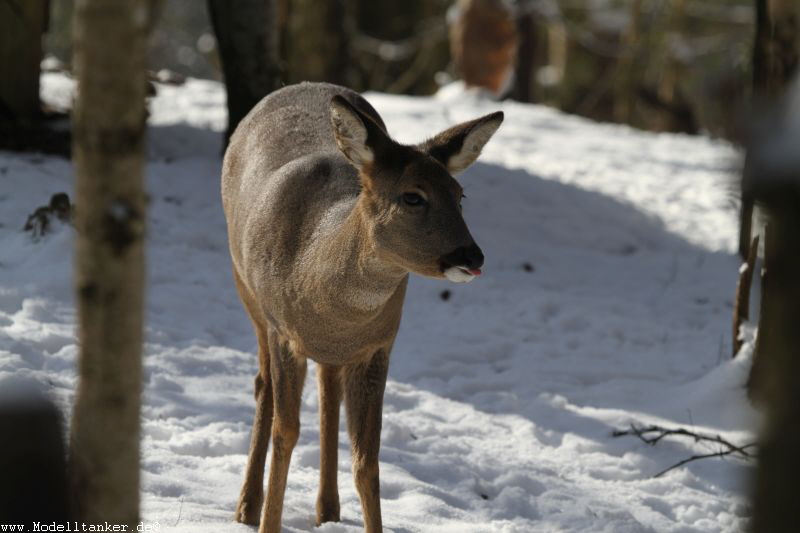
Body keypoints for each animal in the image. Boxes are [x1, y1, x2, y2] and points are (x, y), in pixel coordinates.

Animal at [222, 81, 504, 528]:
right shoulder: (283, 331)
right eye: (412, 196)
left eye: (460, 195)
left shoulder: (378, 345)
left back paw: (328, 510)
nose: (471, 256)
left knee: (328, 392)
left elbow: (367, 459)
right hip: (246, 291)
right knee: (263, 384)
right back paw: (247, 507)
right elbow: (286, 434)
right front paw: (268, 524)